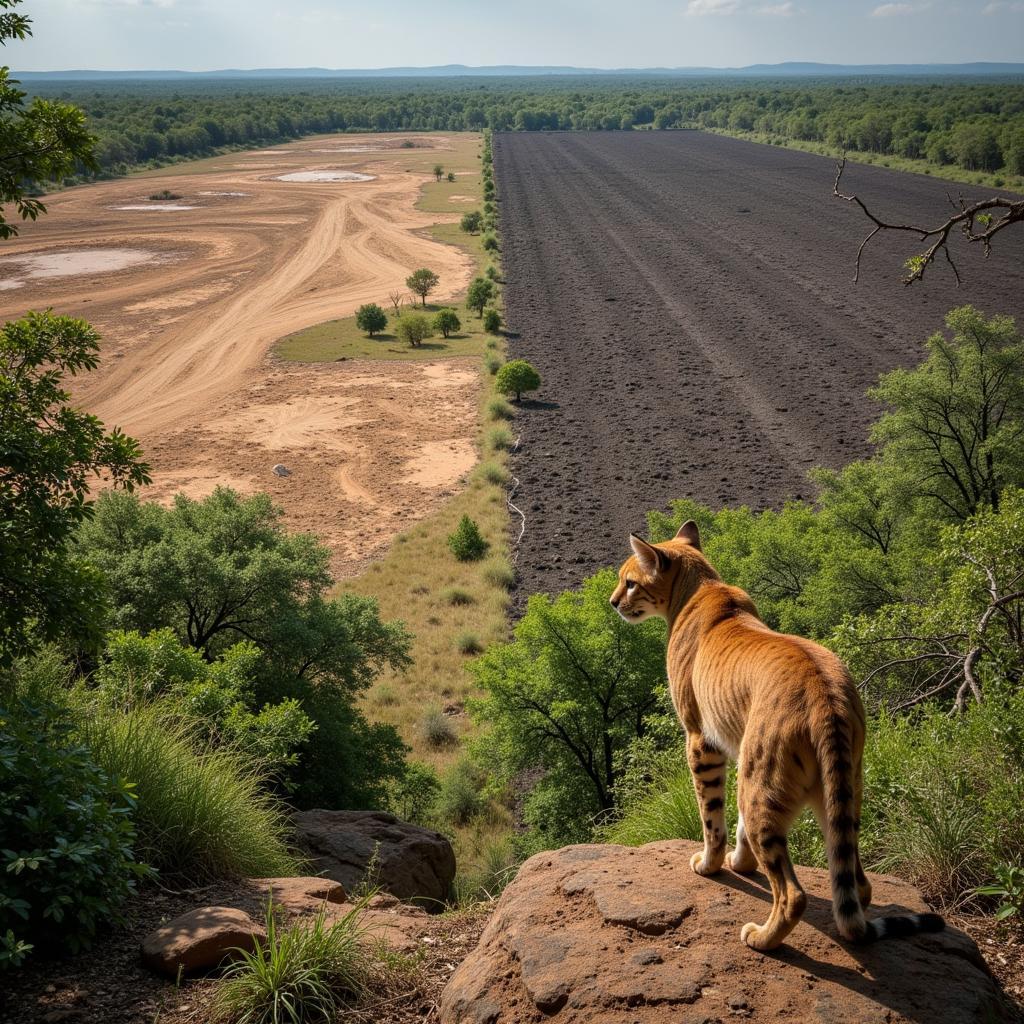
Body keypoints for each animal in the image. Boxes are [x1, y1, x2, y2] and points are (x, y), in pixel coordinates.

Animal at [606, 524, 942, 954]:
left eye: (630, 582)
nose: (613, 602)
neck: (699, 586)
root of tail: (826, 695)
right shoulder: (737, 749)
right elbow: (735, 823)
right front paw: (740, 863)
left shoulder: (702, 740)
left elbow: (712, 816)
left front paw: (711, 864)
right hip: (841, 791)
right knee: (857, 879)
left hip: (761, 785)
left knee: (793, 893)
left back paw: (761, 938)